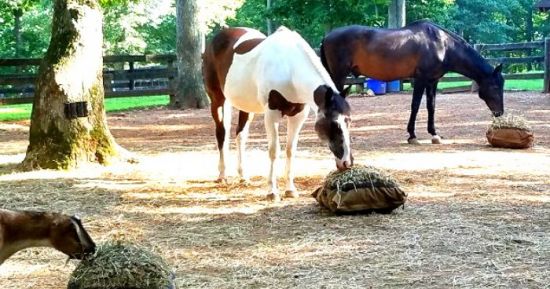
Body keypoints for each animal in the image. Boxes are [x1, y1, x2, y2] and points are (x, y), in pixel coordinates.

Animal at [203, 26, 354, 200]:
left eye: (349, 120)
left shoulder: (298, 116)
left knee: (240, 135)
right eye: (334, 124)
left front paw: (290, 190)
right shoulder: (271, 114)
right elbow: (274, 151)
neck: (290, 69)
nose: (347, 163)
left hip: (247, 107)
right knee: (221, 133)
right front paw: (272, 192)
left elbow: (290, 150)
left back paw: (243, 176)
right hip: (218, 100)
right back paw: (222, 175)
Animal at [322, 19, 506, 143]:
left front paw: (434, 133)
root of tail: (327, 36)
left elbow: (431, 106)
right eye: (495, 86)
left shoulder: (433, 81)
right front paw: (412, 135)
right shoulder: (420, 79)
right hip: (338, 76)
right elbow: (415, 105)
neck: (442, 45)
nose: (500, 113)